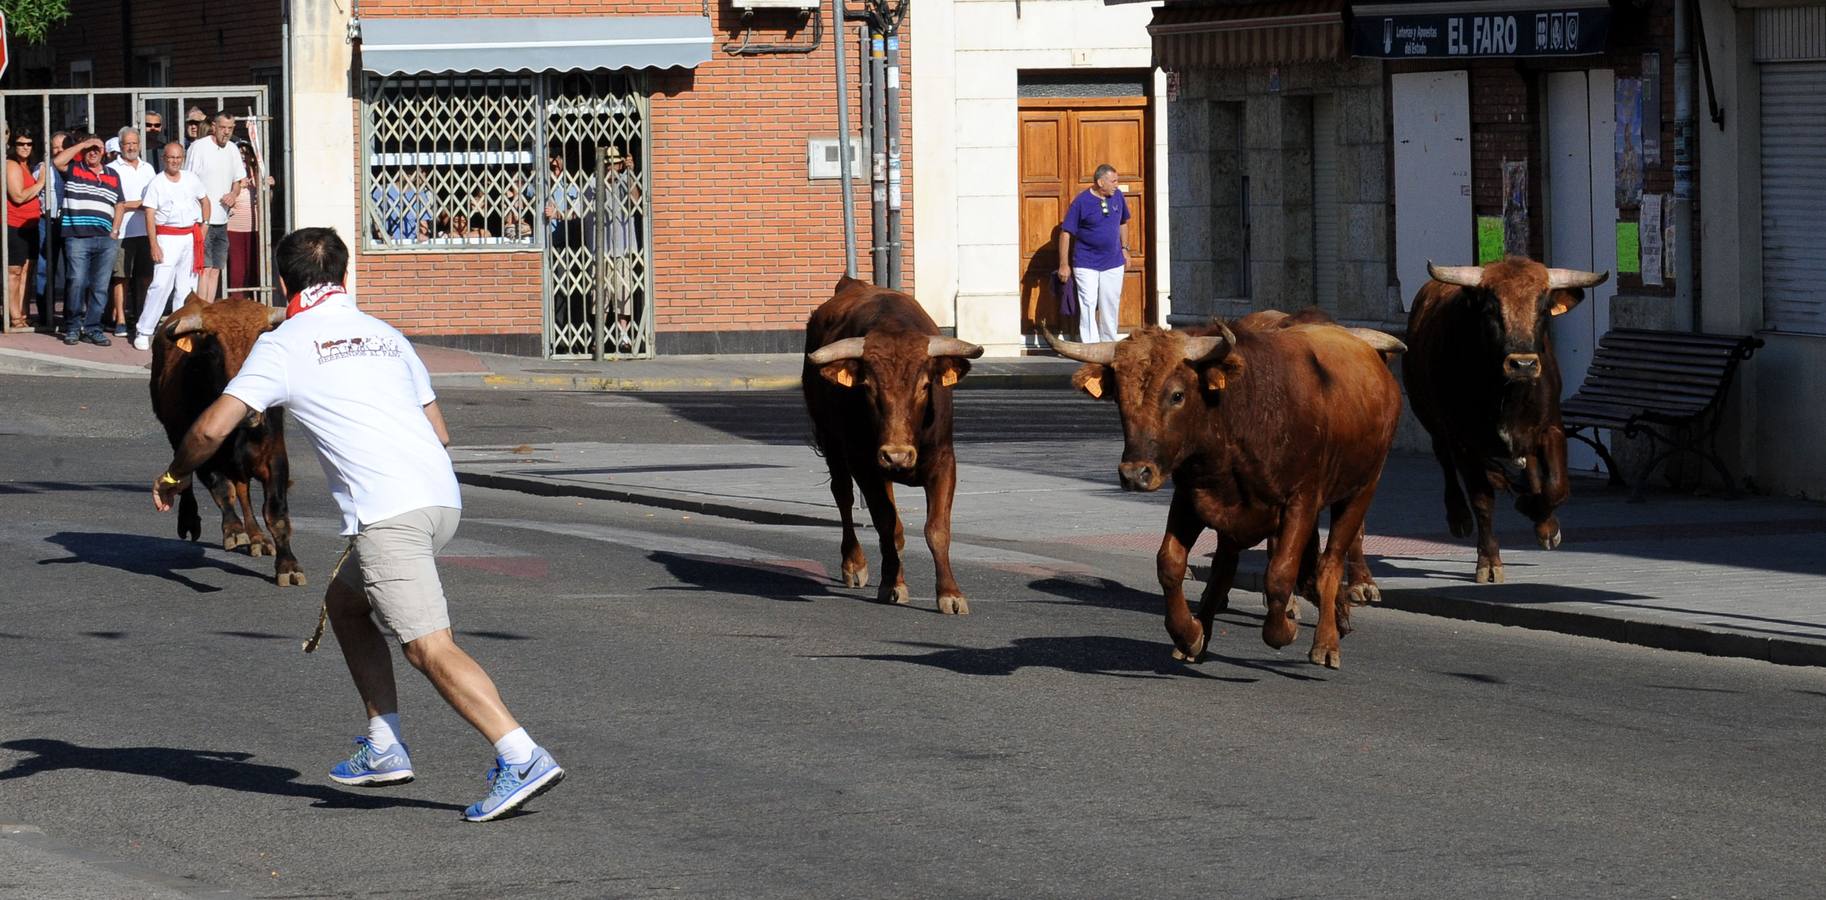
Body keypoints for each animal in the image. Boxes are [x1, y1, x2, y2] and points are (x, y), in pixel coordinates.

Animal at [149, 293, 303, 584]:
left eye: (262, 344)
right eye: (214, 352)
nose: (249, 411)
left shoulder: (275, 457)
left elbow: (275, 511)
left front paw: (288, 565)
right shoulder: (204, 451)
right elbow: (223, 490)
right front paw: (234, 530)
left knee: (243, 489)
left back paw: (257, 538)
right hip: (176, 436)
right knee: (185, 478)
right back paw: (190, 521)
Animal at [807, 275, 986, 609]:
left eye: (925, 386)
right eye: (868, 387)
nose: (896, 456)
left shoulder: (944, 462)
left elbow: (936, 529)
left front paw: (950, 593)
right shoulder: (864, 465)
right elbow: (886, 524)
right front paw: (891, 584)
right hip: (832, 441)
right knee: (844, 495)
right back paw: (855, 564)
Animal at [1051, 315, 1402, 668]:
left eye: (1177, 395)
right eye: (1119, 398)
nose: (1136, 474)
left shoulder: (1301, 501)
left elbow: (1279, 575)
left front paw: (1284, 630)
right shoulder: (1191, 498)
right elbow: (1170, 564)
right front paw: (1189, 634)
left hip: (1362, 489)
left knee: (1329, 563)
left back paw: (1327, 640)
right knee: (1226, 569)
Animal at [1402, 257, 1606, 584]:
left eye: (1543, 308)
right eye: (1491, 309)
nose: (1523, 364)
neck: (1509, 395)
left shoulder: (1551, 428)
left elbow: (1557, 485)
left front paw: (1539, 514)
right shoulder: (1464, 443)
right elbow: (1482, 500)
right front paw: (1488, 560)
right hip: (1430, 418)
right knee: (1444, 461)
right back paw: (1459, 517)